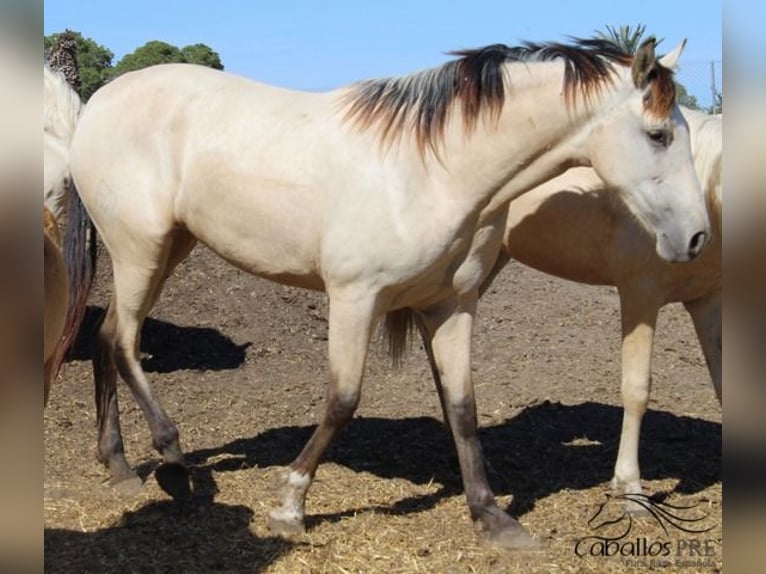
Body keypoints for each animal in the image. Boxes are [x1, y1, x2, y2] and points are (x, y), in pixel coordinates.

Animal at [66, 36, 708, 548]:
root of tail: (101, 100)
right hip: (140, 249)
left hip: (168, 248)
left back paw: (119, 465)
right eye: (657, 134)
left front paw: (493, 517)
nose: (696, 237)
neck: (434, 171)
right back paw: (172, 460)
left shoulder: (451, 305)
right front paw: (290, 504)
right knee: (123, 343)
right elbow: (342, 400)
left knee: (105, 339)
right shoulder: (355, 298)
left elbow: (463, 408)